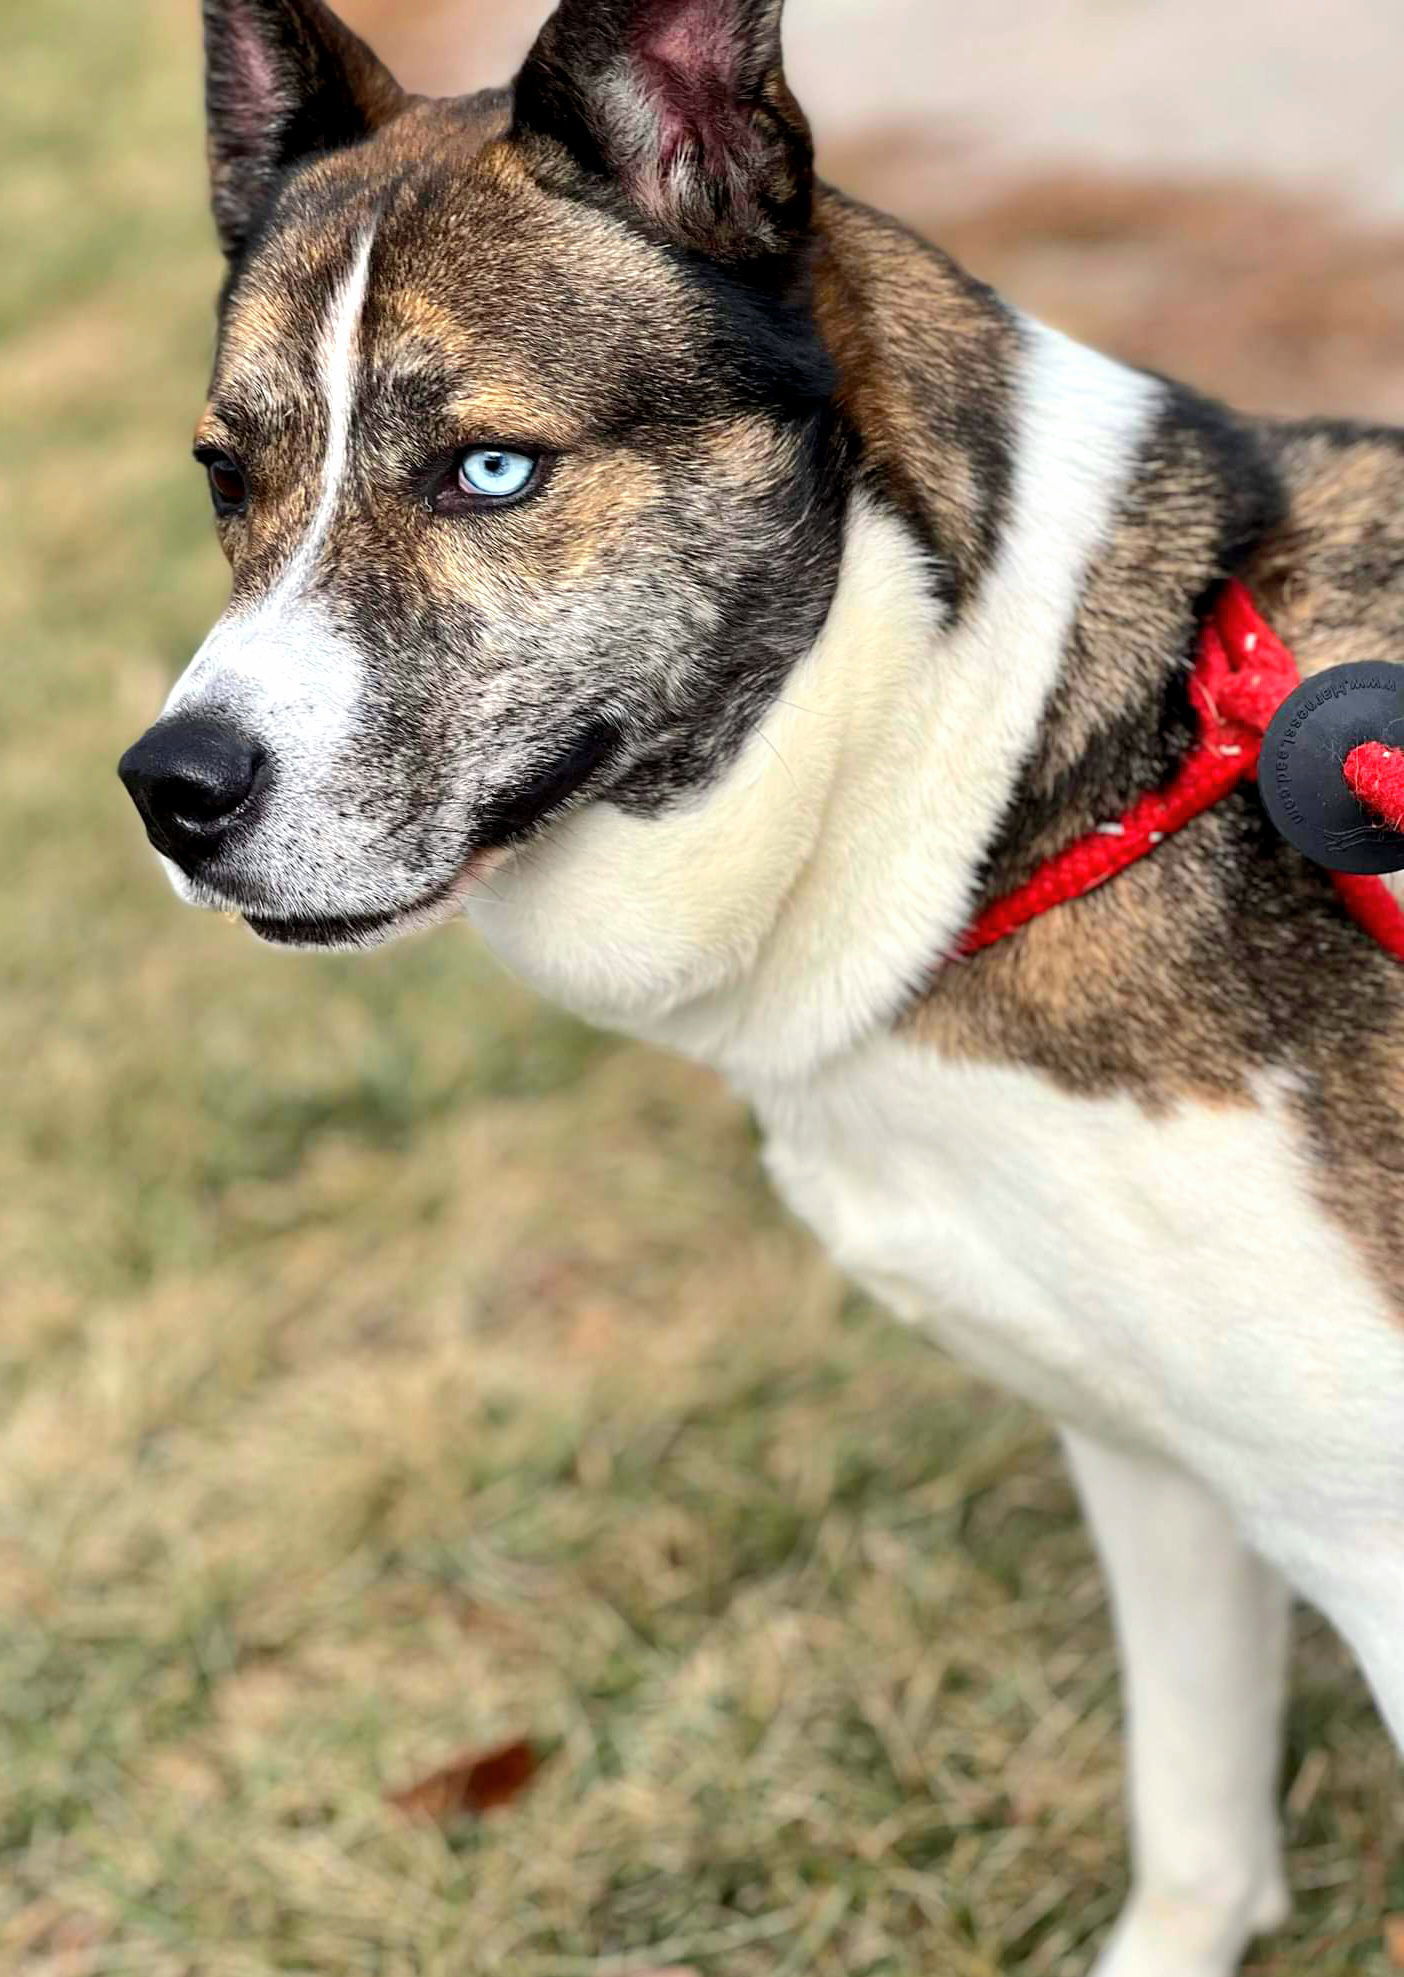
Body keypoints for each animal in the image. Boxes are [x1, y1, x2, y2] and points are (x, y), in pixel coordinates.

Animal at [121, 7, 1404, 1969]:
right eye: (222, 475)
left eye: (489, 471)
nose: (170, 790)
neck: (1026, 776)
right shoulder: (1160, 1465)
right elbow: (1193, 1826)